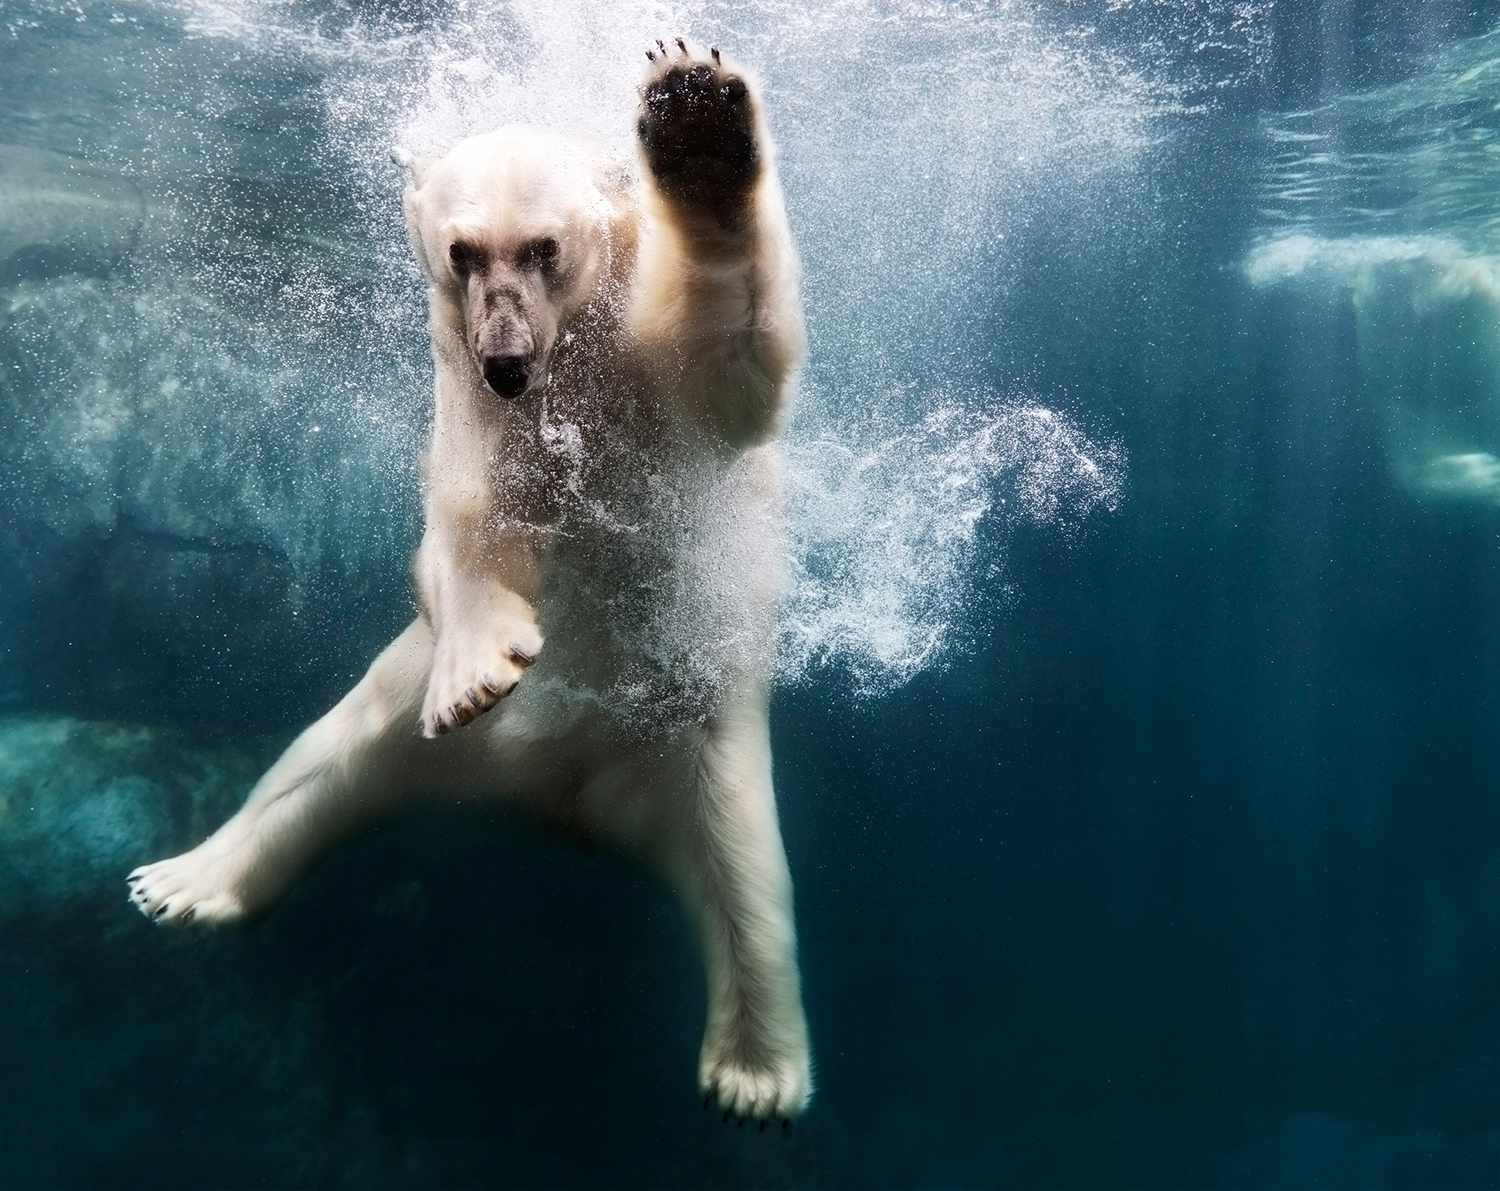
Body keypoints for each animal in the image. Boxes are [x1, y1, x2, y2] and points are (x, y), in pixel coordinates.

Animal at [126, 39, 812, 1123]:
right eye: (461, 252)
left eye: (543, 249)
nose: (505, 359)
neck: (571, 362)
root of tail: (562, 794)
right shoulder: (476, 417)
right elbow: (464, 532)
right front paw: (479, 672)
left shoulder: (658, 388)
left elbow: (735, 359)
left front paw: (695, 119)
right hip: (405, 716)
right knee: (317, 765)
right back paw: (185, 880)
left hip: (702, 738)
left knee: (746, 882)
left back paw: (753, 1074)